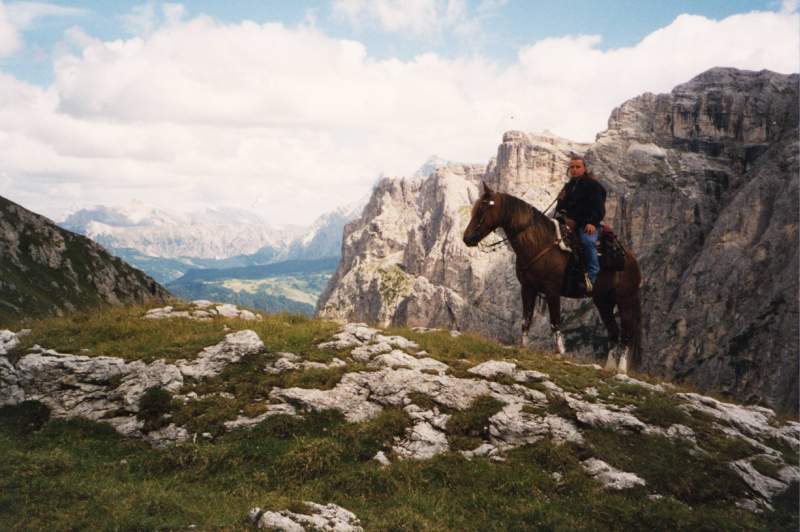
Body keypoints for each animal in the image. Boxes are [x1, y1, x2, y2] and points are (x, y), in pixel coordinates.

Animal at [462, 182, 642, 373]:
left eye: (483, 209)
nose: (467, 238)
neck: (539, 244)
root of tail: (630, 258)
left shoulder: (552, 290)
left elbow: (555, 321)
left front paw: (559, 352)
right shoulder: (527, 289)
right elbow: (526, 319)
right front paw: (523, 347)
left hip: (625, 299)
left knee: (627, 333)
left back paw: (621, 369)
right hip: (603, 301)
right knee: (613, 332)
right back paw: (609, 367)